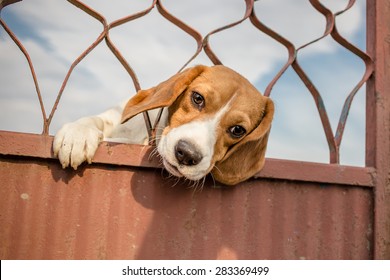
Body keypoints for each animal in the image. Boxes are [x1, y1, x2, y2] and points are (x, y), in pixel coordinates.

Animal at [53, 64, 274, 185]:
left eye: (238, 130)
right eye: (197, 98)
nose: (187, 154)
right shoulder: (113, 117)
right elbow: (95, 121)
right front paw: (77, 135)